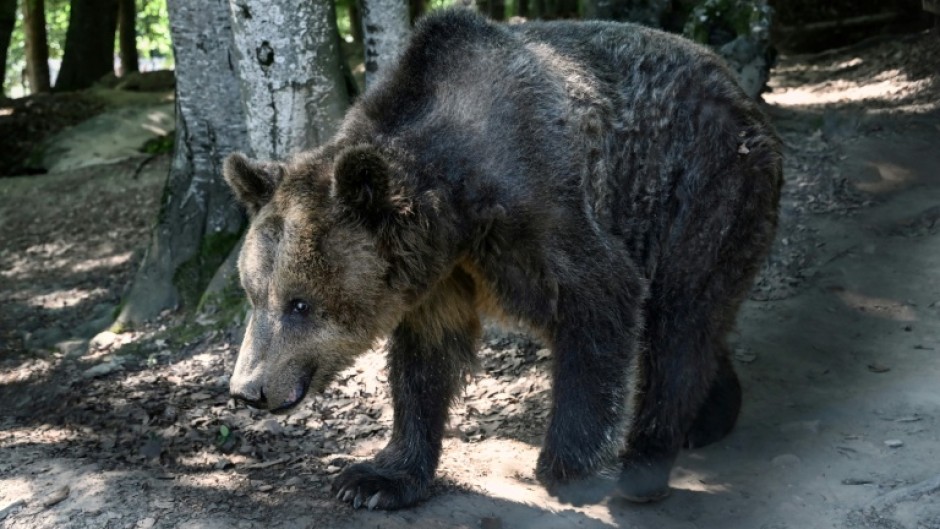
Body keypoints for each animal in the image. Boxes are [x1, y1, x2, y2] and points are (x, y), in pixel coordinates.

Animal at [223, 8, 782, 510]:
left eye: (299, 303)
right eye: (254, 294)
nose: (248, 390)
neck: (460, 203)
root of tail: (739, 89)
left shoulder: (545, 205)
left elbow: (602, 304)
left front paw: (572, 470)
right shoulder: (439, 272)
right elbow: (425, 361)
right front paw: (377, 478)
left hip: (703, 189)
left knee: (683, 322)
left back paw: (648, 460)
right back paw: (709, 416)